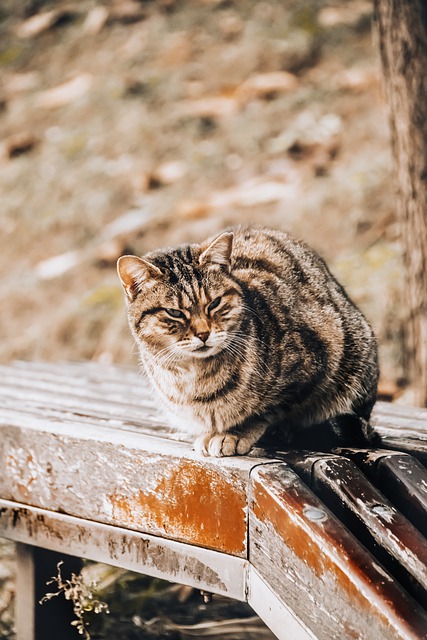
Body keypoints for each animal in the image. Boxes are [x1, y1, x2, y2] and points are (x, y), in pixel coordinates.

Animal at [118, 225, 382, 456]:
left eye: (214, 303)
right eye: (174, 312)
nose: (203, 334)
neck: (193, 377)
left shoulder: (315, 363)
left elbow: (267, 410)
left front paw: (234, 433)